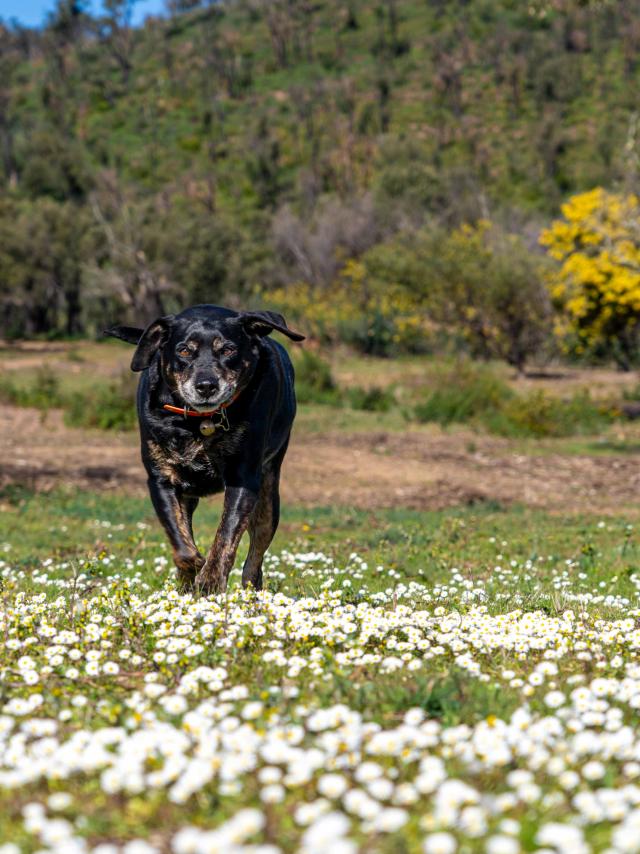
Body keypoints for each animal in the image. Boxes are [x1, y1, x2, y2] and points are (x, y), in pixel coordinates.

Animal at [105, 306, 304, 596]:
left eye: (228, 350)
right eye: (184, 351)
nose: (206, 385)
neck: (199, 422)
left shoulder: (243, 479)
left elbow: (226, 536)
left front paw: (209, 580)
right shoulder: (161, 480)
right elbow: (180, 541)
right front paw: (193, 569)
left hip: (268, 498)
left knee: (255, 555)